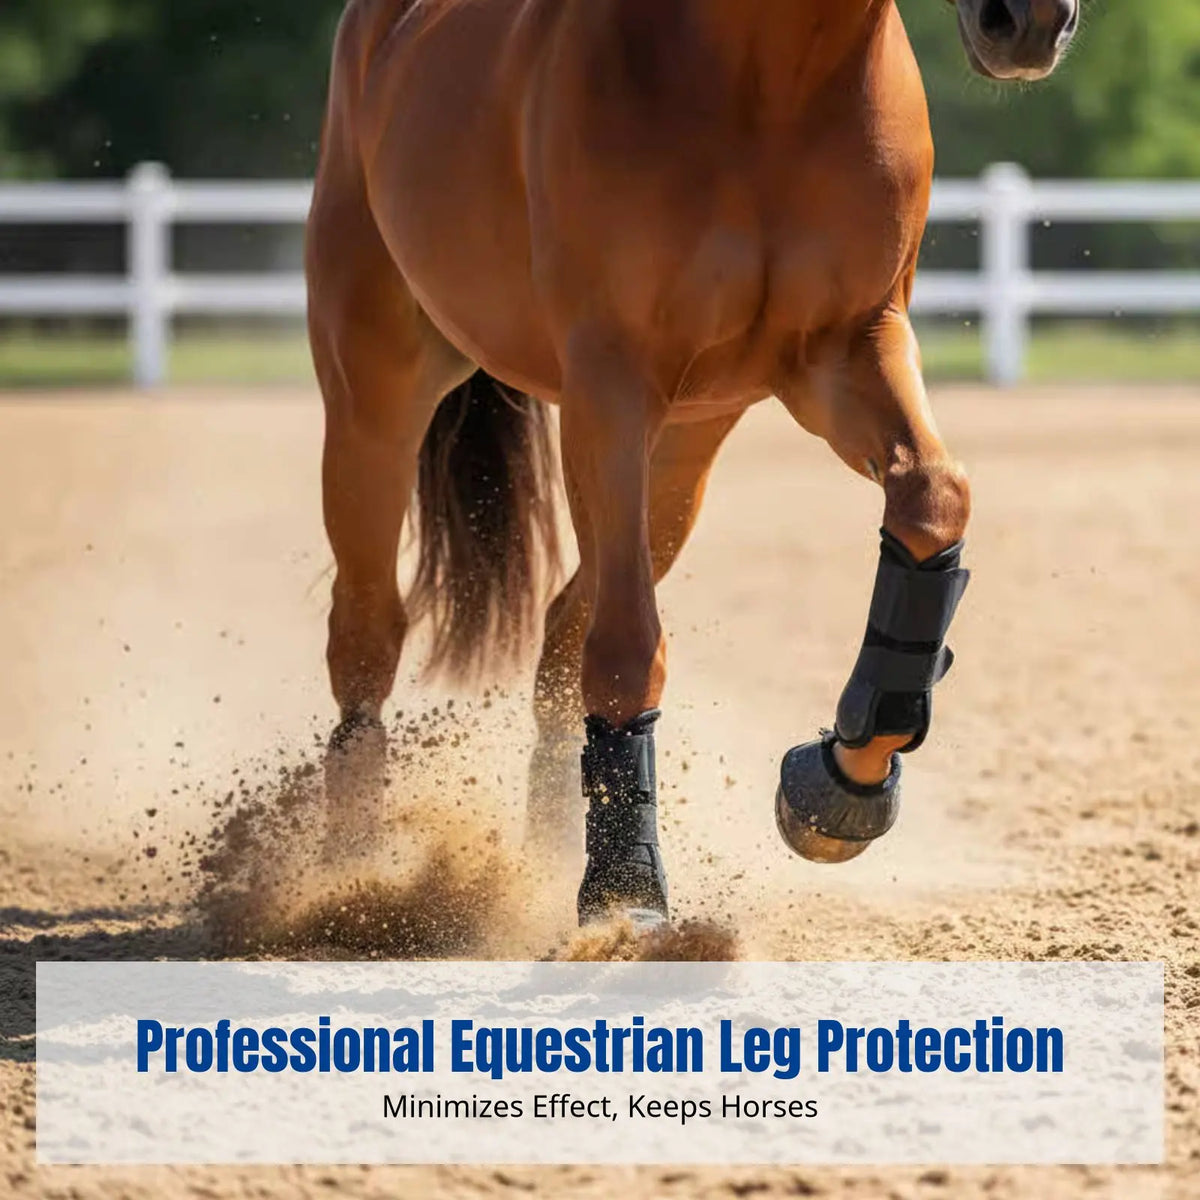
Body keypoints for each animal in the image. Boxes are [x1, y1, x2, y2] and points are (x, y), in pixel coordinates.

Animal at [306, 0, 1077, 927]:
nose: (1030, 25)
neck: (773, 81)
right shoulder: (611, 385)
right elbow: (627, 644)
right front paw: (627, 889)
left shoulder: (849, 351)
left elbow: (933, 500)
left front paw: (838, 785)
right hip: (377, 397)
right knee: (370, 634)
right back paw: (346, 875)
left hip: (684, 453)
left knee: (561, 635)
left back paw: (545, 851)